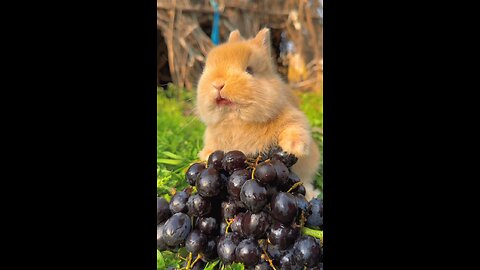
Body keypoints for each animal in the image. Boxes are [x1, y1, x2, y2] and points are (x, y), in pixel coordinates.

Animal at [195, 28, 322, 200]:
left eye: (249, 70)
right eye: (206, 68)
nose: (218, 84)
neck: (237, 121)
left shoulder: (293, 118)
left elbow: (294, 129)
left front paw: (294, 147)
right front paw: (205, 154)